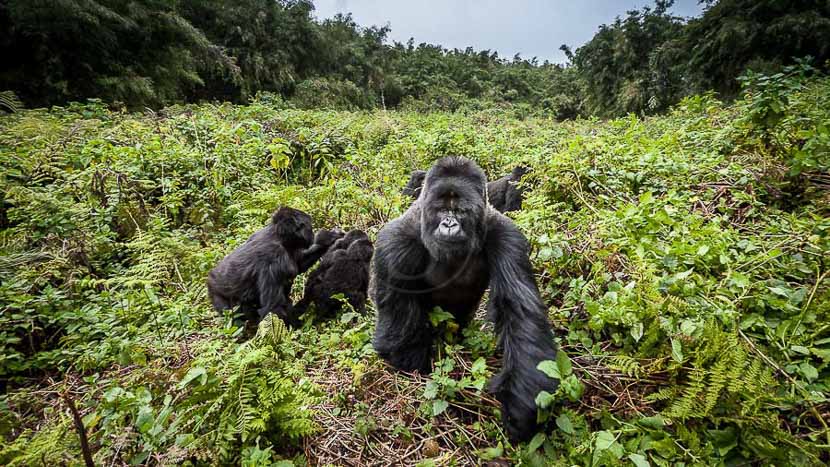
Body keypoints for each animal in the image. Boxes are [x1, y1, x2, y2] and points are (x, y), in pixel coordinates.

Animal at [208, 208, 344, 330]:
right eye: (309, 227)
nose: (312, 235)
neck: (277, 235)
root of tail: (209, 277)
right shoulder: (274, 257)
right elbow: (274, 307)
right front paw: (298, 325)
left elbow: (299, 265)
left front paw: (328, 239)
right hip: (218, 296)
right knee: (234, 317)